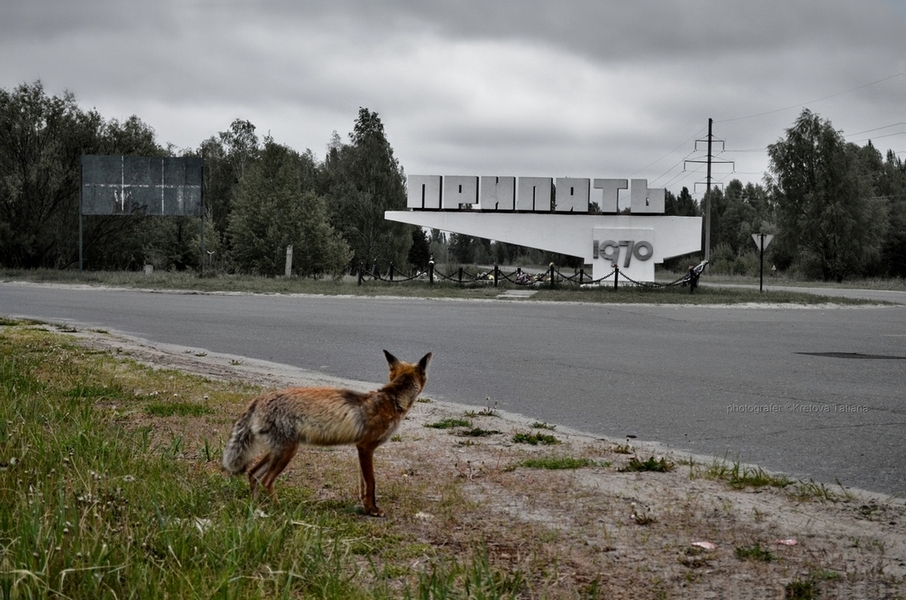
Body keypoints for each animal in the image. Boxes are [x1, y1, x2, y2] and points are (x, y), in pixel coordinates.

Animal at [221, 352, 430, 516]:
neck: (391, 399)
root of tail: (260, 398)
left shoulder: (361, 450)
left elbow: (363, 485)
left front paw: (366, 507)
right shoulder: (365, 447)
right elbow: (371, 483)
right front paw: (372, 510)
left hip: (277, 451)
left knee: (252, 474)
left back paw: (256, 506)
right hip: (287, 452)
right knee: (266, 480)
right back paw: (279, 509)